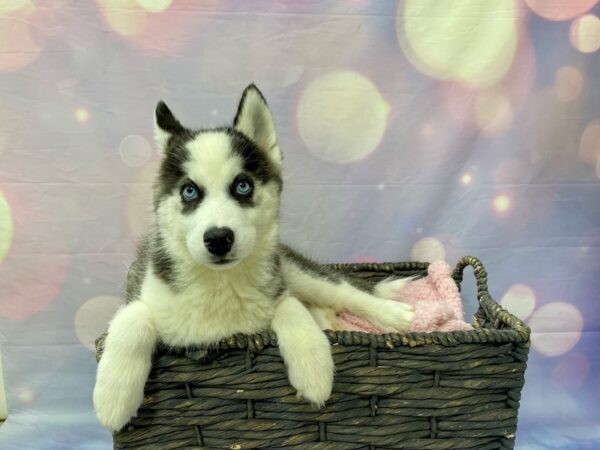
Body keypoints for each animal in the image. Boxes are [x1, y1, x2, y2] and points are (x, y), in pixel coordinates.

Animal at [94, 85, 414, 432]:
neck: (220, 283)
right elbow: (132, 317)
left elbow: (290, 306)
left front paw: (313, 368)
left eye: (243, 186)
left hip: (295, 268)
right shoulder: (143, 286)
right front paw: (114, 395)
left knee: (346, 292)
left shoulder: (277, 288)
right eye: (189, 191)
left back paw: (396, 314)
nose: (219, 238)